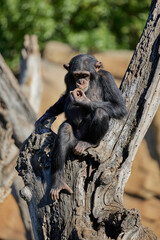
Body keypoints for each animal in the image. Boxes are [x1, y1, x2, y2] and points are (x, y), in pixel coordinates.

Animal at [35, 54, 127, 201]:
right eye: (77, 75)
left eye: (85, 75)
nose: (81, 81)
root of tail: (78, 141)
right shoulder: (67, 78)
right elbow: (65, 96)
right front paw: (46, 115)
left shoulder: (107, 78)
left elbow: (119, 106)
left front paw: (83, 101)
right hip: (74, 136)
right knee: (65, 130)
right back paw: (59, 182)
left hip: (86, 136)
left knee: (100, 112)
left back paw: (89, 143)